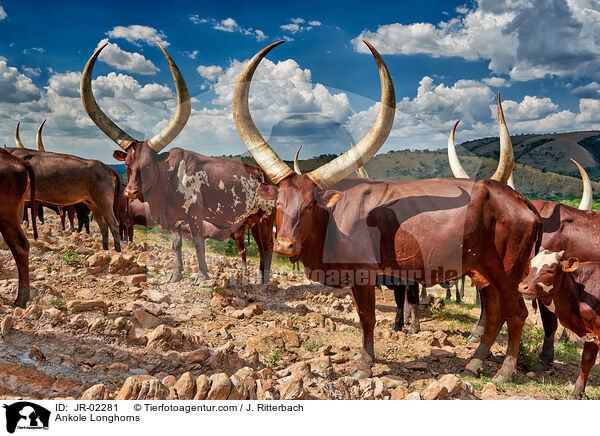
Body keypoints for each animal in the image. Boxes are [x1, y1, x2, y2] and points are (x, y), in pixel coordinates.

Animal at [79, 42, 274, 284]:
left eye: (148, 164)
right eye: (127, 164)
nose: (130, 192)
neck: (169, 180)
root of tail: (265, 175)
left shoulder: (195, 217)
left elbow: (199, 244)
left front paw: (202, 276)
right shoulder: (172, 221)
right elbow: (177, 245)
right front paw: (175, 274)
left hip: (265, 220)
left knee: (267, 248)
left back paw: (264, 281)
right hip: (252, 222)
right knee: (261, 249)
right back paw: (260, 279)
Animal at [233, 41, 544, 382]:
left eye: (311, 204)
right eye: (278, 203)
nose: (285, 245)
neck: (333, 218)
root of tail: (521, 201)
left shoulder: (365, 273)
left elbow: (367, 317)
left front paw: (365, 366)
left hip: (508, 273)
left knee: (516, 314)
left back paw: (505, 370)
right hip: (486, 272)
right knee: (496, 313)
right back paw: (474, 363)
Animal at [516, 249, 600, 398]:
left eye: (550, 270)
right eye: (530, 266)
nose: (523, 286)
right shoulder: (591, 334)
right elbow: (587, 361)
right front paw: (577, 392)